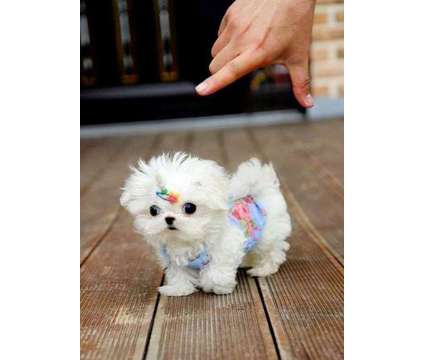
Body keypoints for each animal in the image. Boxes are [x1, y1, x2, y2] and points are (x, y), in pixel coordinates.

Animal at [121, 152, 290, 296]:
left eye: (190, 208)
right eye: (153, 210)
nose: (169, 218)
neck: (188, 240)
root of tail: (259, 190)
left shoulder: (226, 247)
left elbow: (217, 269)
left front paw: (216, 286)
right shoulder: (174, 259)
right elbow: (178, 273)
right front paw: (179, 289)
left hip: (267, 236)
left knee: (272, 252)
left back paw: (263, 269)